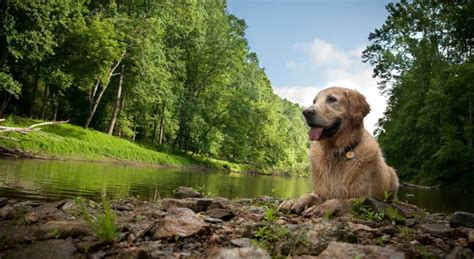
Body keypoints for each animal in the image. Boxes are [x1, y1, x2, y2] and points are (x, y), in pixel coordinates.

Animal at [280, 87, 398, 217]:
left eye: (332, 99)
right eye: (314, 101)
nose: (306, 112)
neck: (336, 153)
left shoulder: (360, 197)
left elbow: (337, 201)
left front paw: (320, 208)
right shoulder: (321, 191)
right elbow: (308, 195)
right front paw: (294, 202)